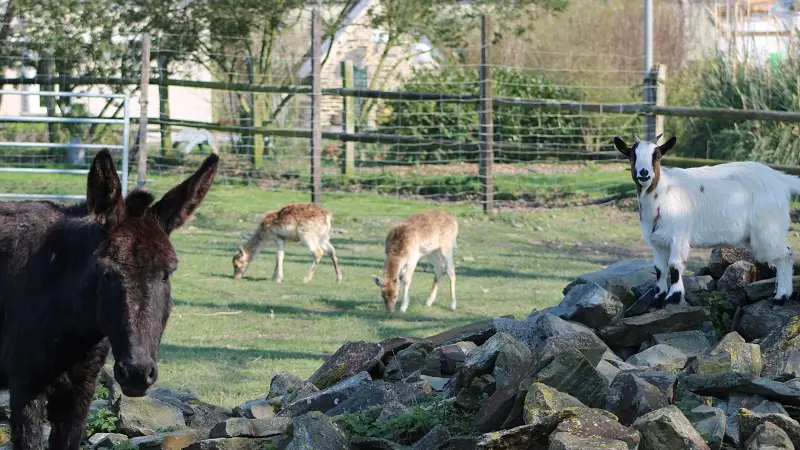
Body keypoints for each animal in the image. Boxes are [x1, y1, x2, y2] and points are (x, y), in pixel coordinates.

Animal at [616, 134, 796, 306]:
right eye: (632, 156)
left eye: (657, 156)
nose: (644, 173)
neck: (663, 193)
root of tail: (780, 179)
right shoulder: (657, 241)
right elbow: (659, 269)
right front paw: (658, 298)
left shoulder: (679, 235)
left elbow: (674, 265)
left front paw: (673, 297)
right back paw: (777, 291)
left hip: (768, 227)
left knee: (785, 256)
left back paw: (781, 297)